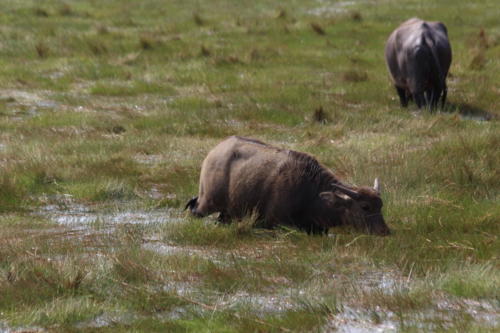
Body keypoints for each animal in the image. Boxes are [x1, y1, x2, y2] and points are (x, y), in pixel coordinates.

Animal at [186, 136, 392, 236]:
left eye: (380, 206)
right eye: (365, 207)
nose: (384, 231)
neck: (311, 193)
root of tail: (214, 152)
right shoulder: (273, 223)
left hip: (227, 212)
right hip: (206, 203)